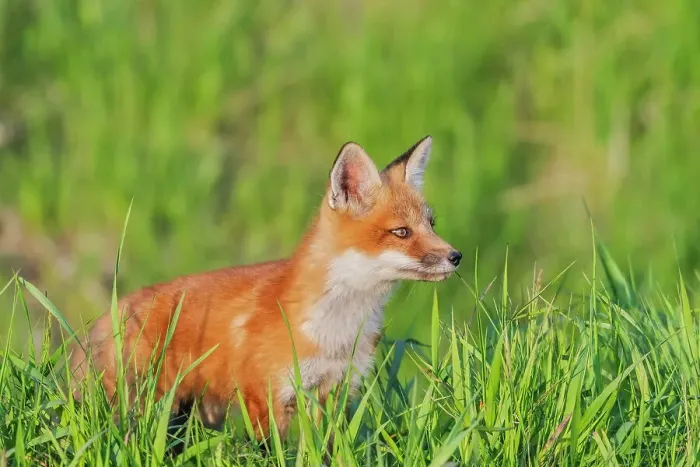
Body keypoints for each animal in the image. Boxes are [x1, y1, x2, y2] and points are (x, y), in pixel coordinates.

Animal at [69, 135, 462, 440]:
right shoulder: (265, 396)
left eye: (431, 224)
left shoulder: (334, 392)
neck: (335, 331)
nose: (455, 256)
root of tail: (110, 312)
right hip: (140, 405)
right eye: (401, 232)